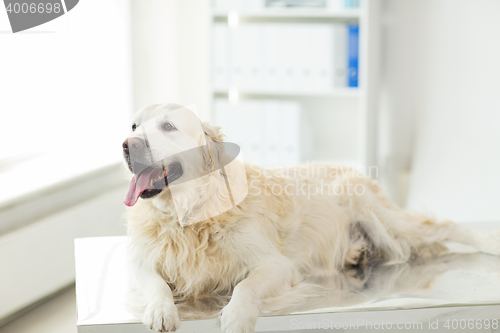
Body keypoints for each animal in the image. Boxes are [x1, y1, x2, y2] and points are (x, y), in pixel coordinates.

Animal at [123, 102, 500, 330]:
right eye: (134, 125)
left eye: (168, 126)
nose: (128, 145)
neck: (188, 215)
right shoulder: (141, 263)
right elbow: (156, 283)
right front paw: (161, 310)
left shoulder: (277, 265)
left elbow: (245, 286)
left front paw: (236, 316)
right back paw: (358, 252)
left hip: (386, 222)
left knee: (445, 227)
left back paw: (488, 240)